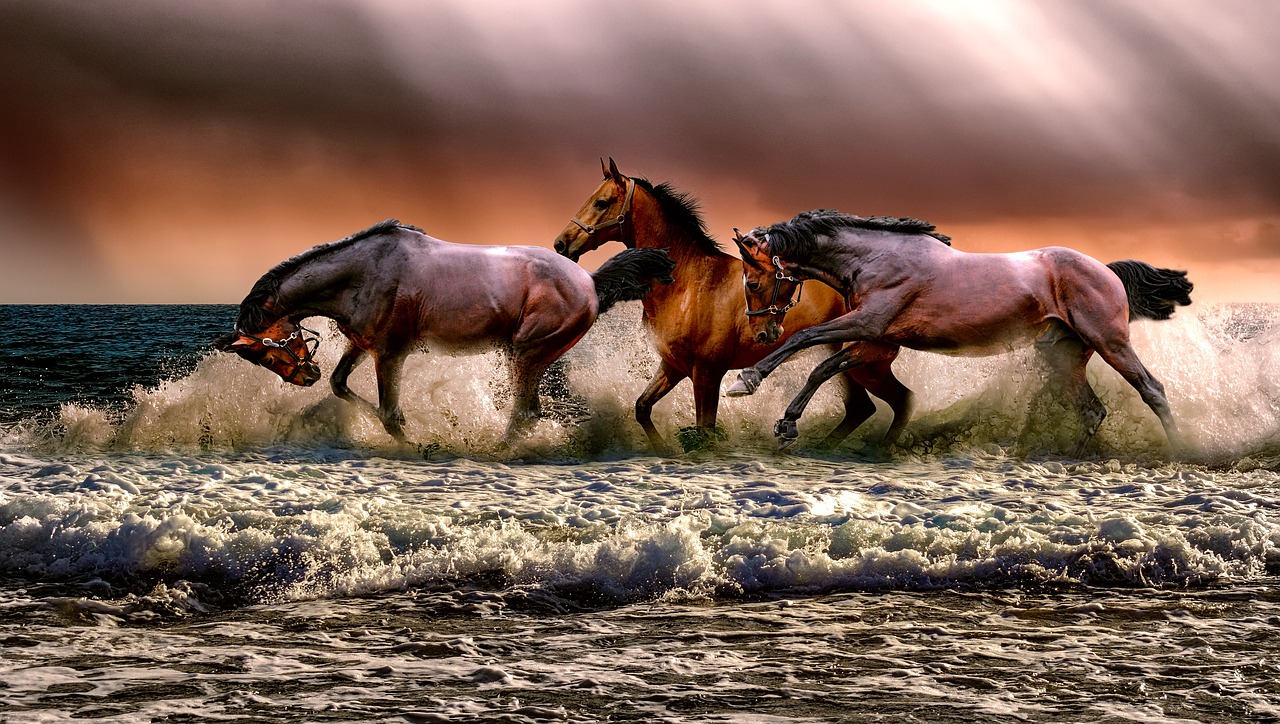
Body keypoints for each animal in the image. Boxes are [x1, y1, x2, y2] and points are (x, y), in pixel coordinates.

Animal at [214, 219, 675, 444]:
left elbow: (390, 414)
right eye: (258, 357)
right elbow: (341, 385)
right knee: (528, 412)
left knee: (524, 413)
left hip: (527, 353)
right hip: (527, 357)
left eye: (267, 347)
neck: (362, 273)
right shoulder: (361, 344)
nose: (304, 376)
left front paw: (416, 444)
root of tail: (591, 281)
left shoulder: (391, 352)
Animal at [553, 159, 912, 452]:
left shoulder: (706, 373)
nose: (561, 244)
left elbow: (705, 431)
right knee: (863, 407)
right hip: (848, 364)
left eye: (601, 202)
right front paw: (664, 450)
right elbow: (642, 408)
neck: (689, 283)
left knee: (897, 402)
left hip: (865, 364)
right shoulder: (673, 367)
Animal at [727, 209, 1194, 453]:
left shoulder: (869, 324)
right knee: (1092, 410)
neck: (875, 258)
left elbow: (804, 341)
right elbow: (822, 368)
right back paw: (1070, 460)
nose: (763, 331)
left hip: (1109, 342)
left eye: (753, 282)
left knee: (1152, 389)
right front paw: (787, 423)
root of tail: (1106, 270)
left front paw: (745, 381)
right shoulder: (876, 341)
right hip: (1063, 356)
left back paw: (1181, 449)